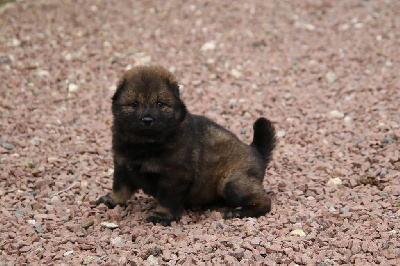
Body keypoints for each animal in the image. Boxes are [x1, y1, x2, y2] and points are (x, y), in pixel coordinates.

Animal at [97, 66, 278, 224]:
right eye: (134, 104)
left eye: (160, 104)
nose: (147, 120)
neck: (145, 144)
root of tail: (256, 151)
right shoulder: (122, 165)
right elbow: (120, 187)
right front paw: (111, 199)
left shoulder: (174, 175)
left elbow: (167, 198)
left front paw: (161, 215)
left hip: (233, 182)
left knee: (264, 201)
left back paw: (239, 211)